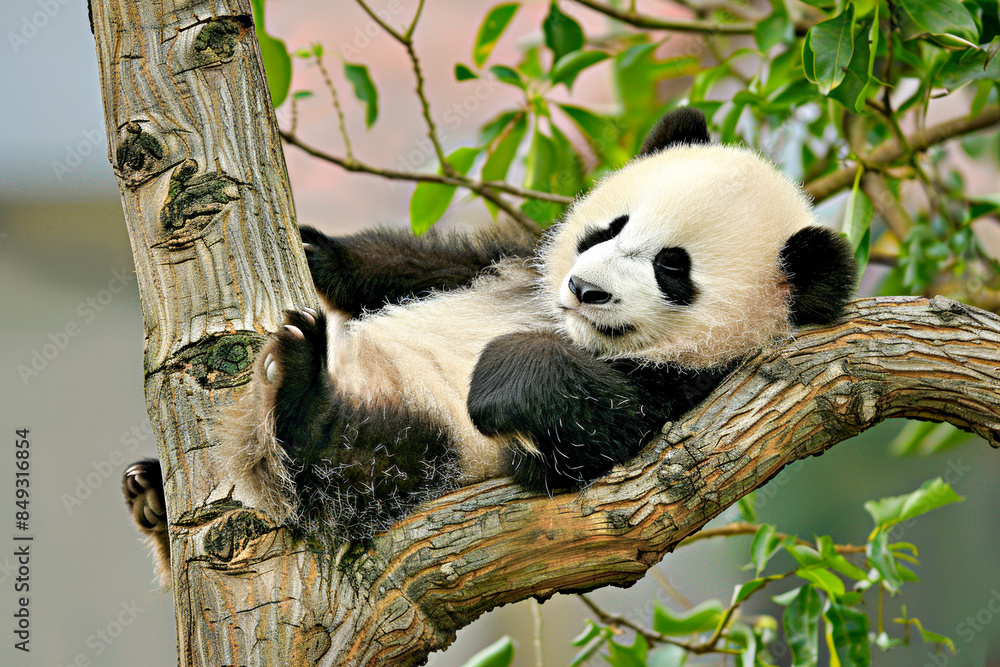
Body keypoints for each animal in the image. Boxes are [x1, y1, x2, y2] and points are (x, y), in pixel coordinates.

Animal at [123, 107, 857, 568]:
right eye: (609, 228)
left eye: (671, 269)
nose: (584, 289)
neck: (566, 327)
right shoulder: (517, 264)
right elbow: (436, 265)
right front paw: (317, 249)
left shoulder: (691, 393)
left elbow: (607, 427)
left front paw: (502, 379)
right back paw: (151, 493)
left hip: (426, 456)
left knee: (366, 457)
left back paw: (302, 395)